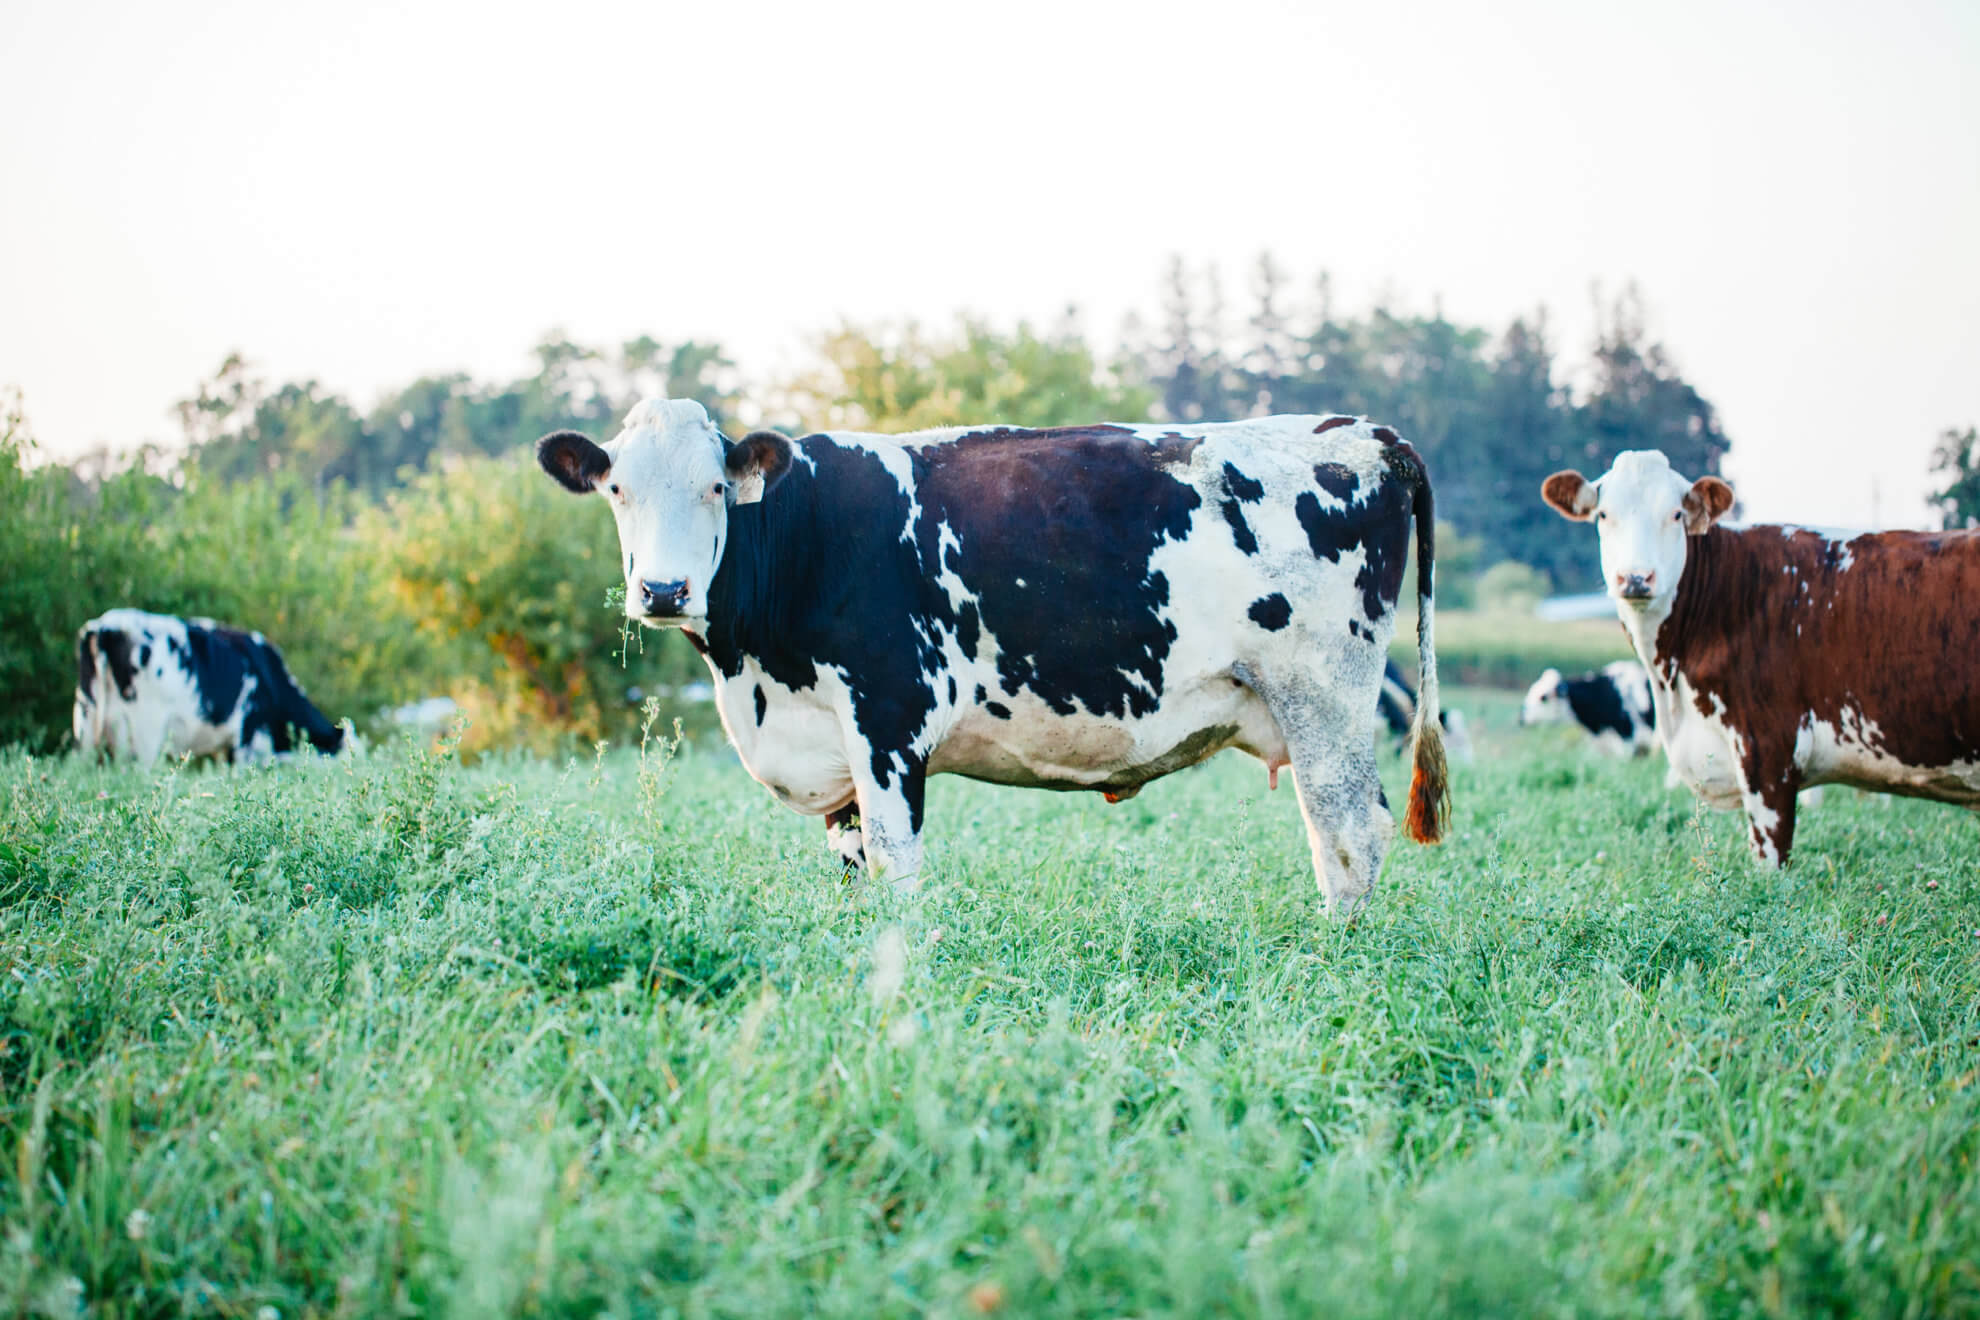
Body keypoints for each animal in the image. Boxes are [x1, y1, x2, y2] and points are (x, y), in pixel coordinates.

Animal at [542, 399, 1457, 918]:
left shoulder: (888, 718)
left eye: (716, 489)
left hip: (1324, 696)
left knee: (1347, 830)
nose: (663, 590)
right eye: (618, 490)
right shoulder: (833, 743)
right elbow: (851, 866)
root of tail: (1363, 430)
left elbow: (896, 865)